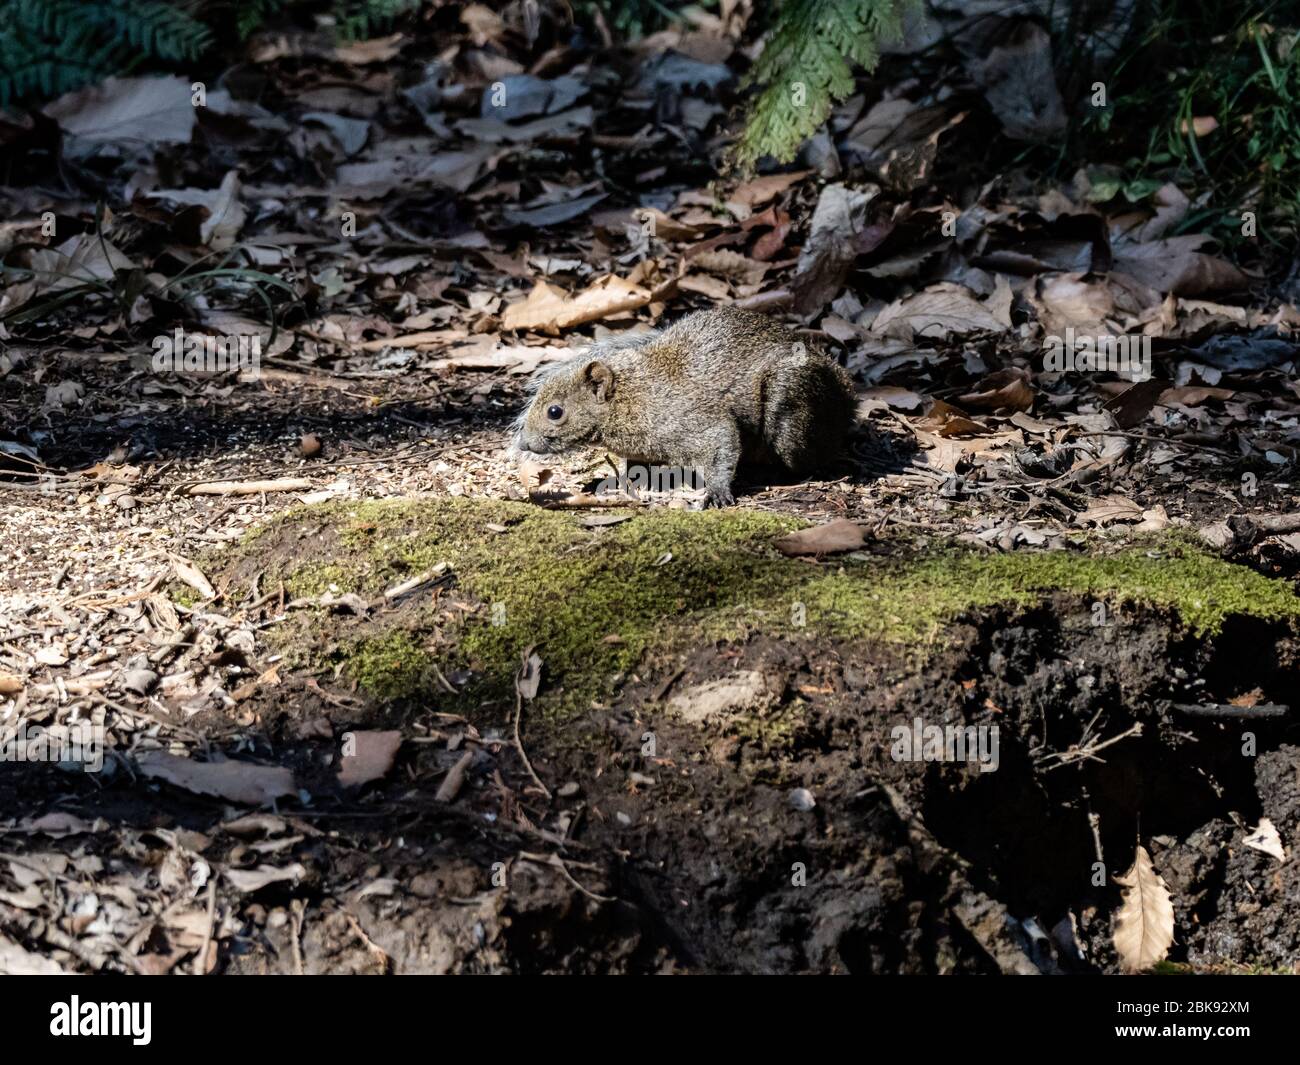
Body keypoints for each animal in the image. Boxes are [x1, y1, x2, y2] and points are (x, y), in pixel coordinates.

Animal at [512, 308, 857, 507]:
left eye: (555, 412)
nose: (525, 443)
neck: (629, 398)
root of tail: (847, 397)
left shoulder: (692, 420)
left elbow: (720, 443)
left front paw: (716, 492)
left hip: (791, 407)